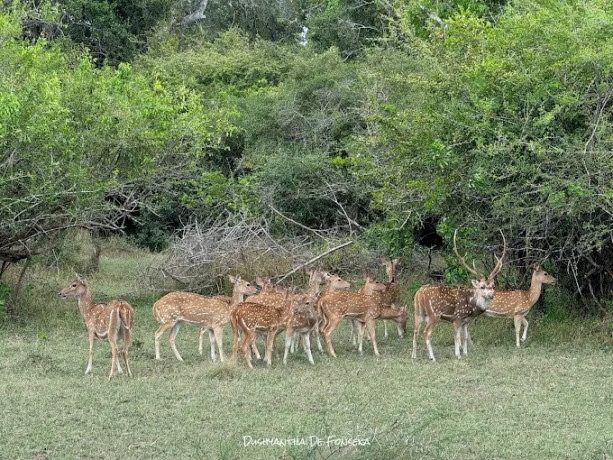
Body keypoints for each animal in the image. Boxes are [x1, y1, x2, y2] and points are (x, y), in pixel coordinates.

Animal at [412, 232, 506, 362]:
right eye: (482, 287)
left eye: (493, 286)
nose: (490, 295)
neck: (472, 308)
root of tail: (419, 294)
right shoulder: (457, 318)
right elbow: (456, 337)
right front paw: (458, 354)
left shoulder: (465, 321)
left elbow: (465, 336)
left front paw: (465, 353)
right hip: (434, 314)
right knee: (426, 333)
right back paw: (432, 357)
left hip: (418, 312)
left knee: (415, 331)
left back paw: (414, 356)